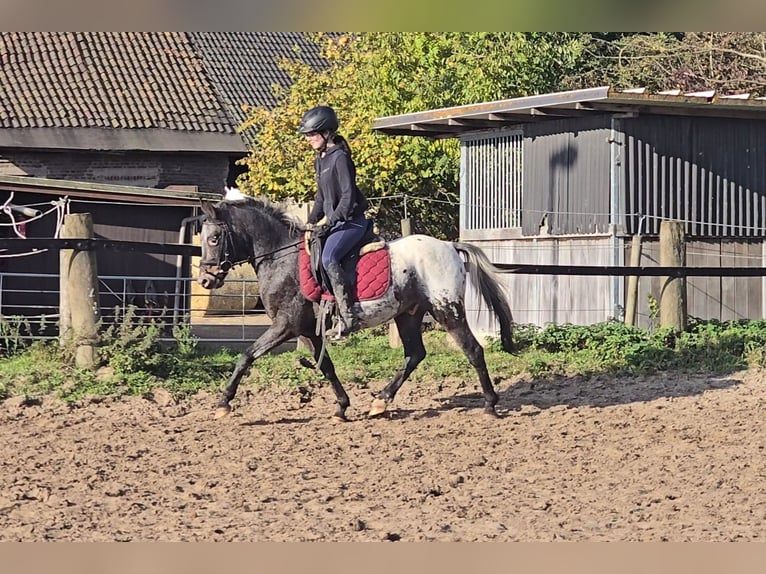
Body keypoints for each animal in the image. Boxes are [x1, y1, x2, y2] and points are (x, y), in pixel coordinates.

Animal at [196, 199, 516, 424]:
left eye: (213, 239)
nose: (205, 281)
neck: (280, 258)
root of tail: (449, 245)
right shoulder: (308, 330)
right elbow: (326, 367)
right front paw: (342, 407)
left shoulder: (285, 325)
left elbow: (246, 356)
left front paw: (223, 403)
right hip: (409, 313)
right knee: (414, 354)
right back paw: (380, 401)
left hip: (446, 310)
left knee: (472, 350)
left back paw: (490, 404)